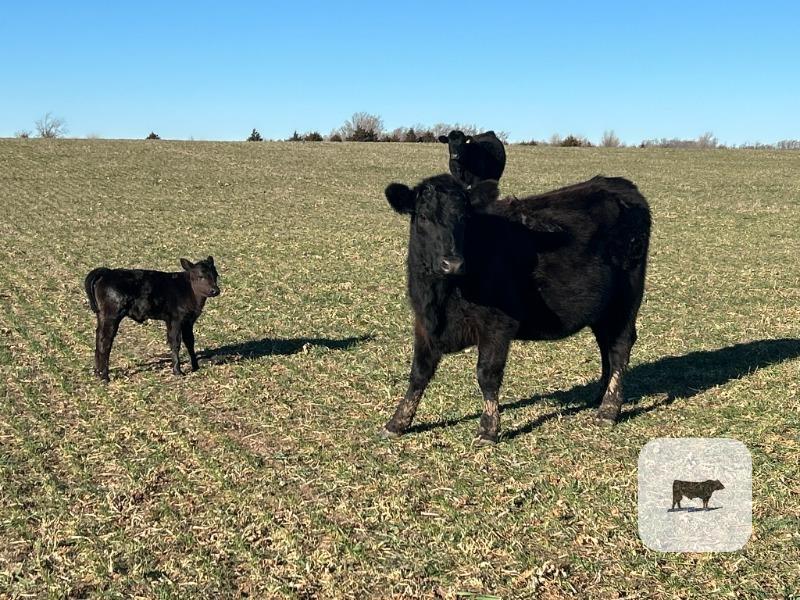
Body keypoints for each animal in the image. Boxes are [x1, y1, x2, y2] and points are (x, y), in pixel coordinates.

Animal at [84, 257, 220, 381]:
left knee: (98, 337)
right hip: (111, 315)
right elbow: (175, 343)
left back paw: (97, 372)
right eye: (200, 276)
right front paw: (177, 371)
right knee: (105, 341)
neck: (189, 291)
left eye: (216, 275)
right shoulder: (175, 320)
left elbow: (190, 342)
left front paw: (195, 367)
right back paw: (105, 376)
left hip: (102, 316)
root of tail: (108, 272)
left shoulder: (188, 321)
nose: (215, 290)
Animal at [381, 174, 650, 445]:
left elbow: (487, 374)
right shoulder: (424, 324)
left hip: (625, 301)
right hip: (603, 310)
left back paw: (609, 409)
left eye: (465, 219)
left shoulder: (498, 325)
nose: (453, 263)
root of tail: (618, 184)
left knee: (619, 348)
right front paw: (397, 422)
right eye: (424, 217)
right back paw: (600, 394)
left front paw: (488, 428)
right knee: (606, 346)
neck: (442, 298)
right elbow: (419, 373)